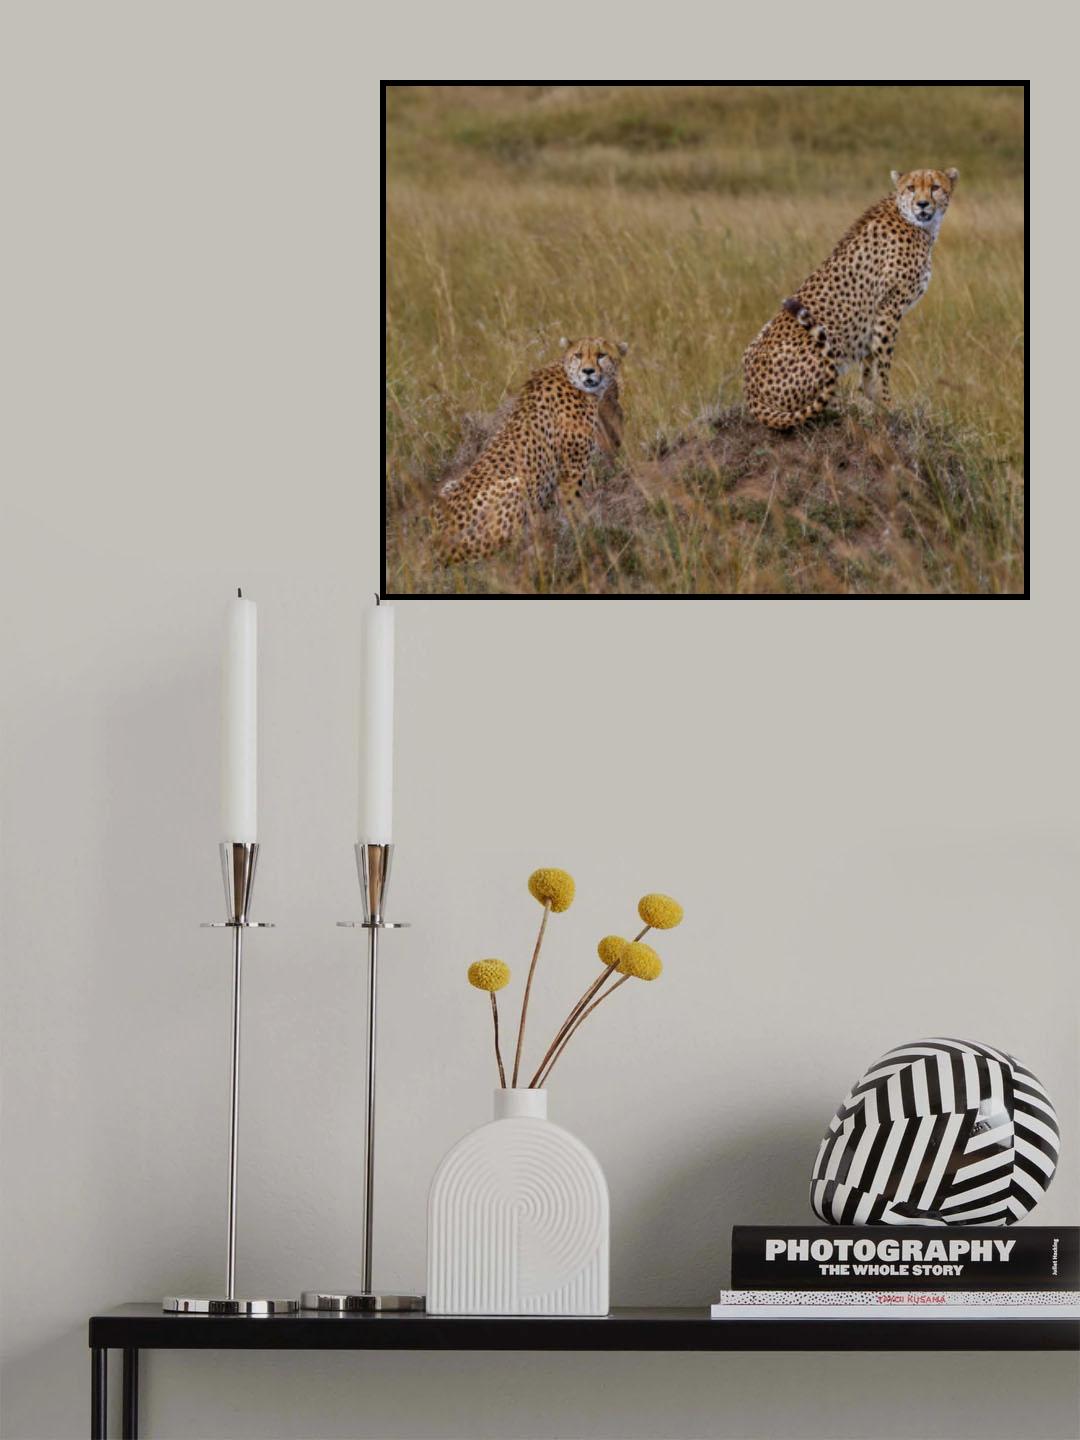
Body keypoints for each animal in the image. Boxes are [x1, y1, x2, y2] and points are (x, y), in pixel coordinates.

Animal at [432, 337, 627, 564]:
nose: (588, 371)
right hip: (515, 486)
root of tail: (439, 547)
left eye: (601, 355)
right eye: (579, 355)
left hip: (448, 487)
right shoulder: (573, 469)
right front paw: (582, 529)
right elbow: (572, 507)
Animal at [743, 168, 960, 430]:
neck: (916, 222)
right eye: (911, 188)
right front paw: (889, 406)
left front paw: (871, 401)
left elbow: (870, 361)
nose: (922, 204)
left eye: (935, 187)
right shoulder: (889, 307)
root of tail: (751, 393)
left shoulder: (877, 316)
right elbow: (883, 362)